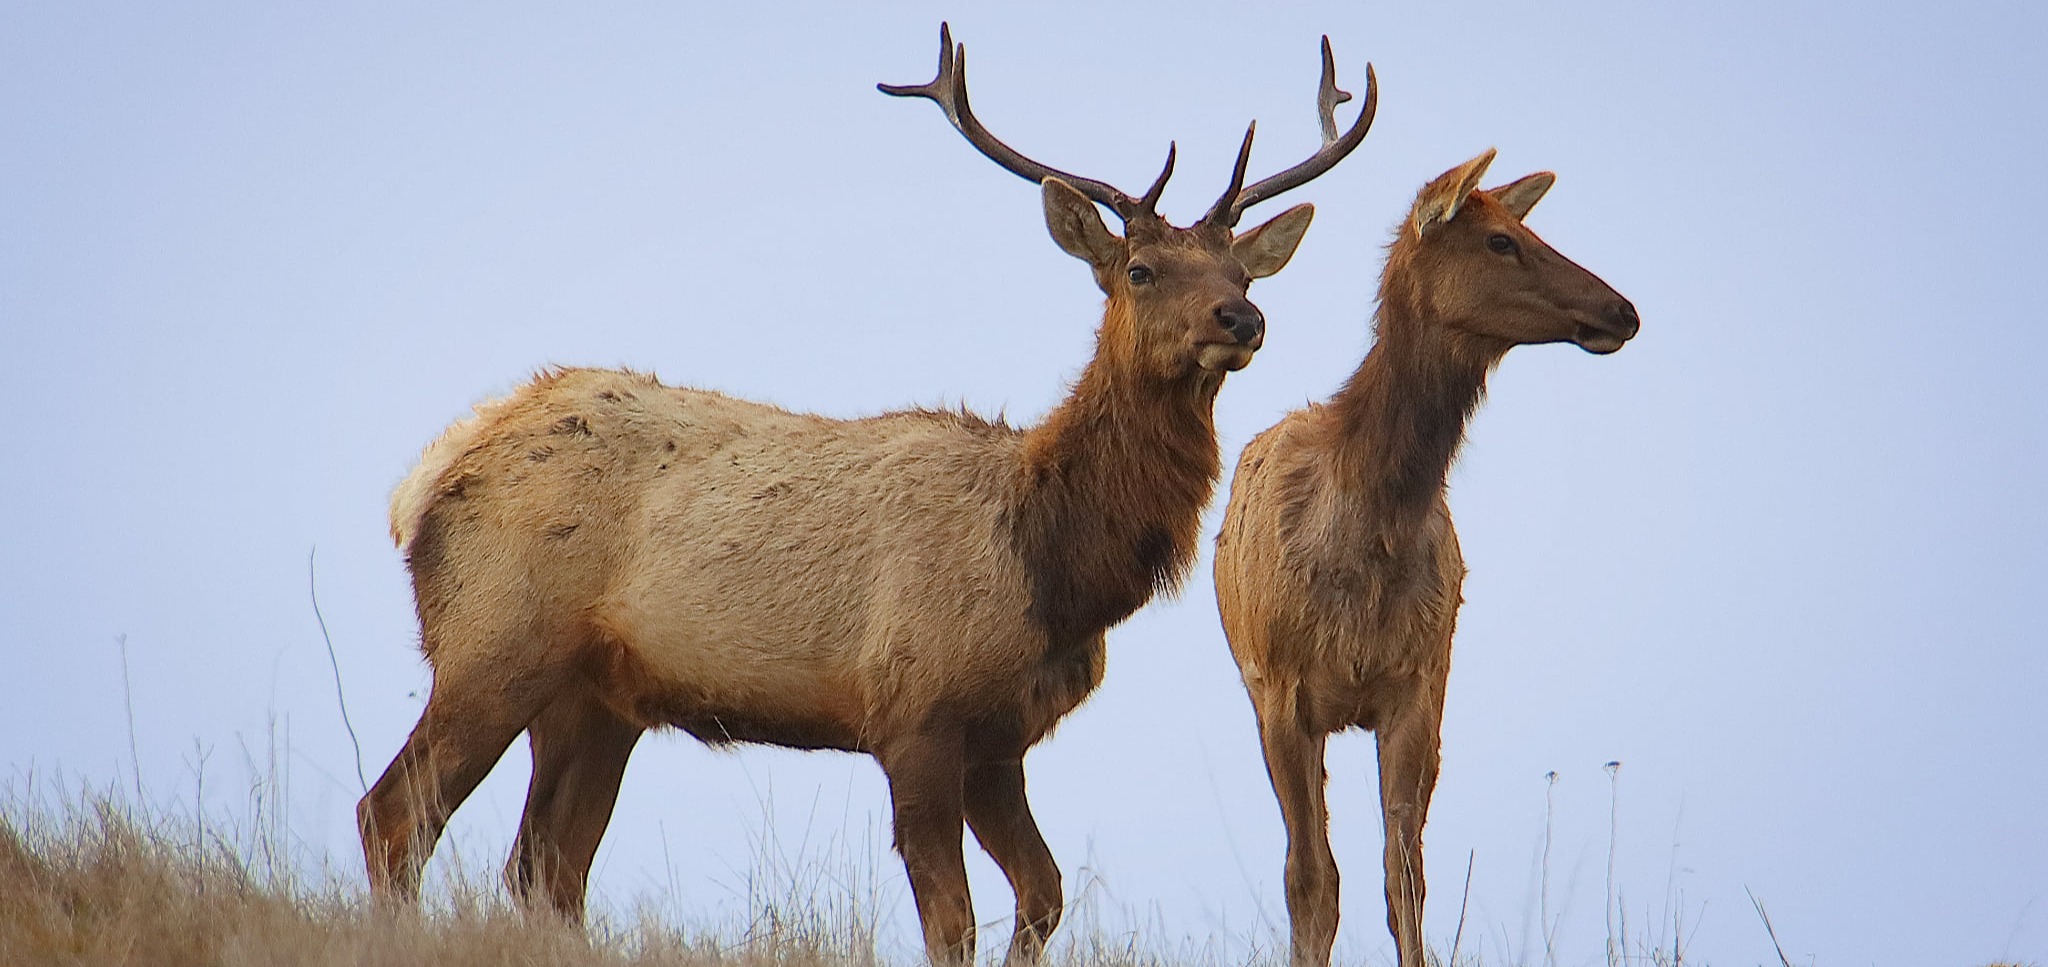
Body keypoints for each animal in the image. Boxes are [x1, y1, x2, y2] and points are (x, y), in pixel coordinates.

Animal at [360, 22, 1376, 966]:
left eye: (1239, 269)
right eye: (1141, 269)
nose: (1242, 317)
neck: (1051, 565)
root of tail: (428, 476)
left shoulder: (1000, 737)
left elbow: (1044, 892)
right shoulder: (914, 711)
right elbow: (951, 919)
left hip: (595, 697)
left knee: (544, 866)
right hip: (497, 637)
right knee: (395, 815)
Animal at [1212, 149, 1630, 966]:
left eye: (1522, 227)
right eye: (1500, 240)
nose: (1623, 310)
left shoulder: (1419, 683)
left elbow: (1403, 877)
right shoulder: (1281, 692)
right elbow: (1309, 880)